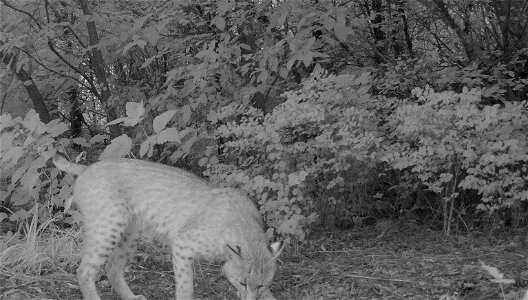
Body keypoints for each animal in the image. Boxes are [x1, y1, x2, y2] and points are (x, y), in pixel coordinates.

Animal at [52, 155, 284, 300]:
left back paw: (132, 297)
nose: (248, 297)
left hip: (130, 232)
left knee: (112, 268)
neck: (245, 228)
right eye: (243, 282)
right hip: (108, 226)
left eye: (261, 284)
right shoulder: (182, 244)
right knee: (84, 271)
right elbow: (185, 287)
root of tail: (89, 166)